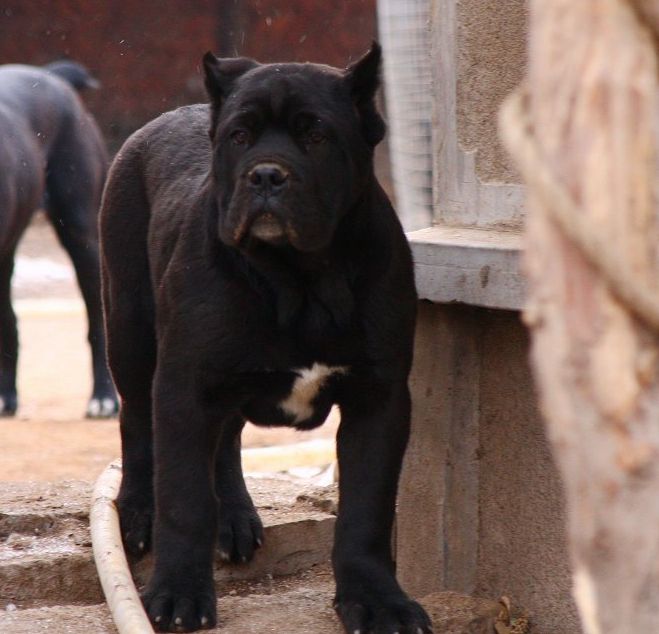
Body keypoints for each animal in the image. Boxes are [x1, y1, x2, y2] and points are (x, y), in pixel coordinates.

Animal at [0, 59, 116, 414]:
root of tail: (53, 76)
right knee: (10, 322)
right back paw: (6, 395)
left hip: (82, 235)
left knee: (98, 325)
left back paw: (104, 398)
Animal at [99, 44, 434, 632]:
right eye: (239, 136)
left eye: (316, 134)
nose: (266, 176)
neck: (302, 276)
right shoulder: (185, 385)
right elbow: (184, 498)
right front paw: (178, 594)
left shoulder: (380, 398)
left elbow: (367, 509)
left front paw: (376, 600)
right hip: (131, 333)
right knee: (137, 424)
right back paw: (138, 514)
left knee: (226, 440)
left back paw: (234, 517)